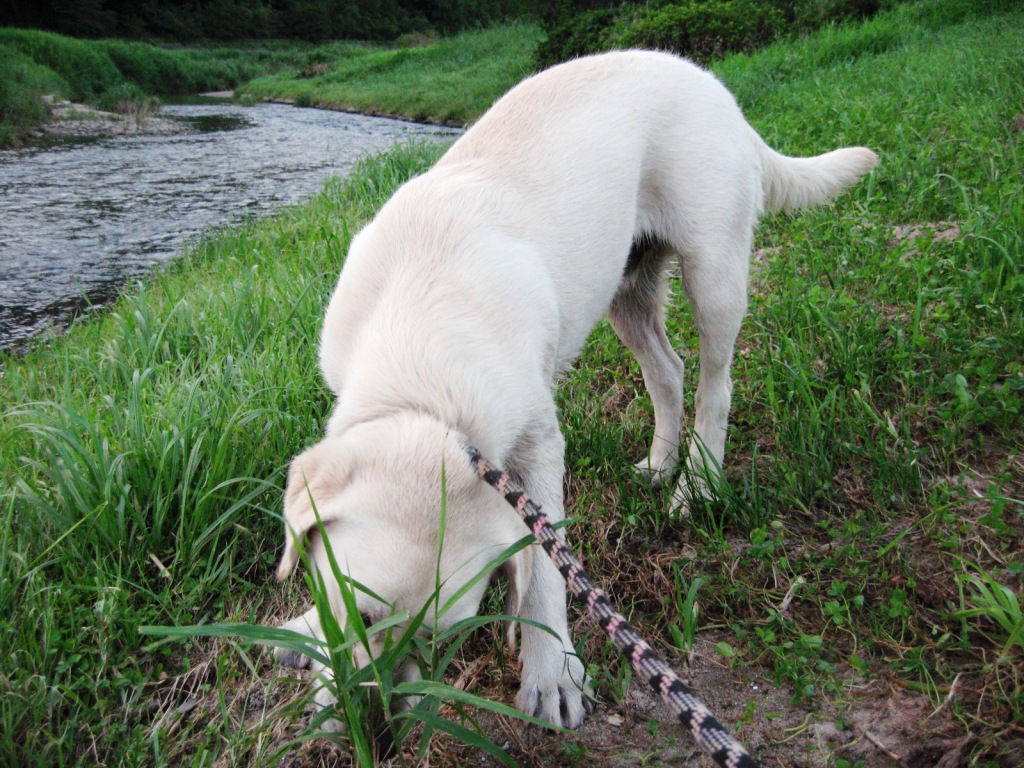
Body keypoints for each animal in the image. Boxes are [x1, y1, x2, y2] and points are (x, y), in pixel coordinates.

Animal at [276, 51, 876, 729]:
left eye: (443, 642)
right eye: (358, 614)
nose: (375, 731)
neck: (421, 366)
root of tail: (706, 79)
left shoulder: (538, 443)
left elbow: (545, 570)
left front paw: (552, 675)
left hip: (715, 269)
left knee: (714, 386)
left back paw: (696, 484)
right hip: (627, 288)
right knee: (667, 371)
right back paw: (660, 464)